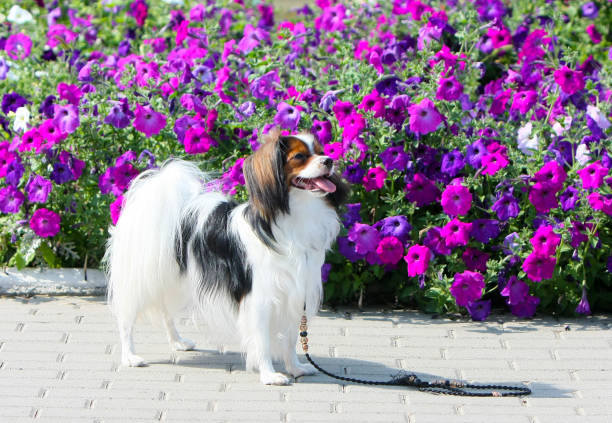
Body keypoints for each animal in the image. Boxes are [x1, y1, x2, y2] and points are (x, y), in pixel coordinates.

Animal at [103, 131, 346, 386]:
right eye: (299, 156)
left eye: (321, 151)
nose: (329, 160)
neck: (297, 213)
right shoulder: (260, 300)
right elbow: (263, 341)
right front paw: (269, 375)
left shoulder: (296, 293)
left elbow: (291, 339)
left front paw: (296, 368)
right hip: (141, 279)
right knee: (126, 320)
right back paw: (130, 356)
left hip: (171, 279)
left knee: (165, 312)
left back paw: (178, 342)